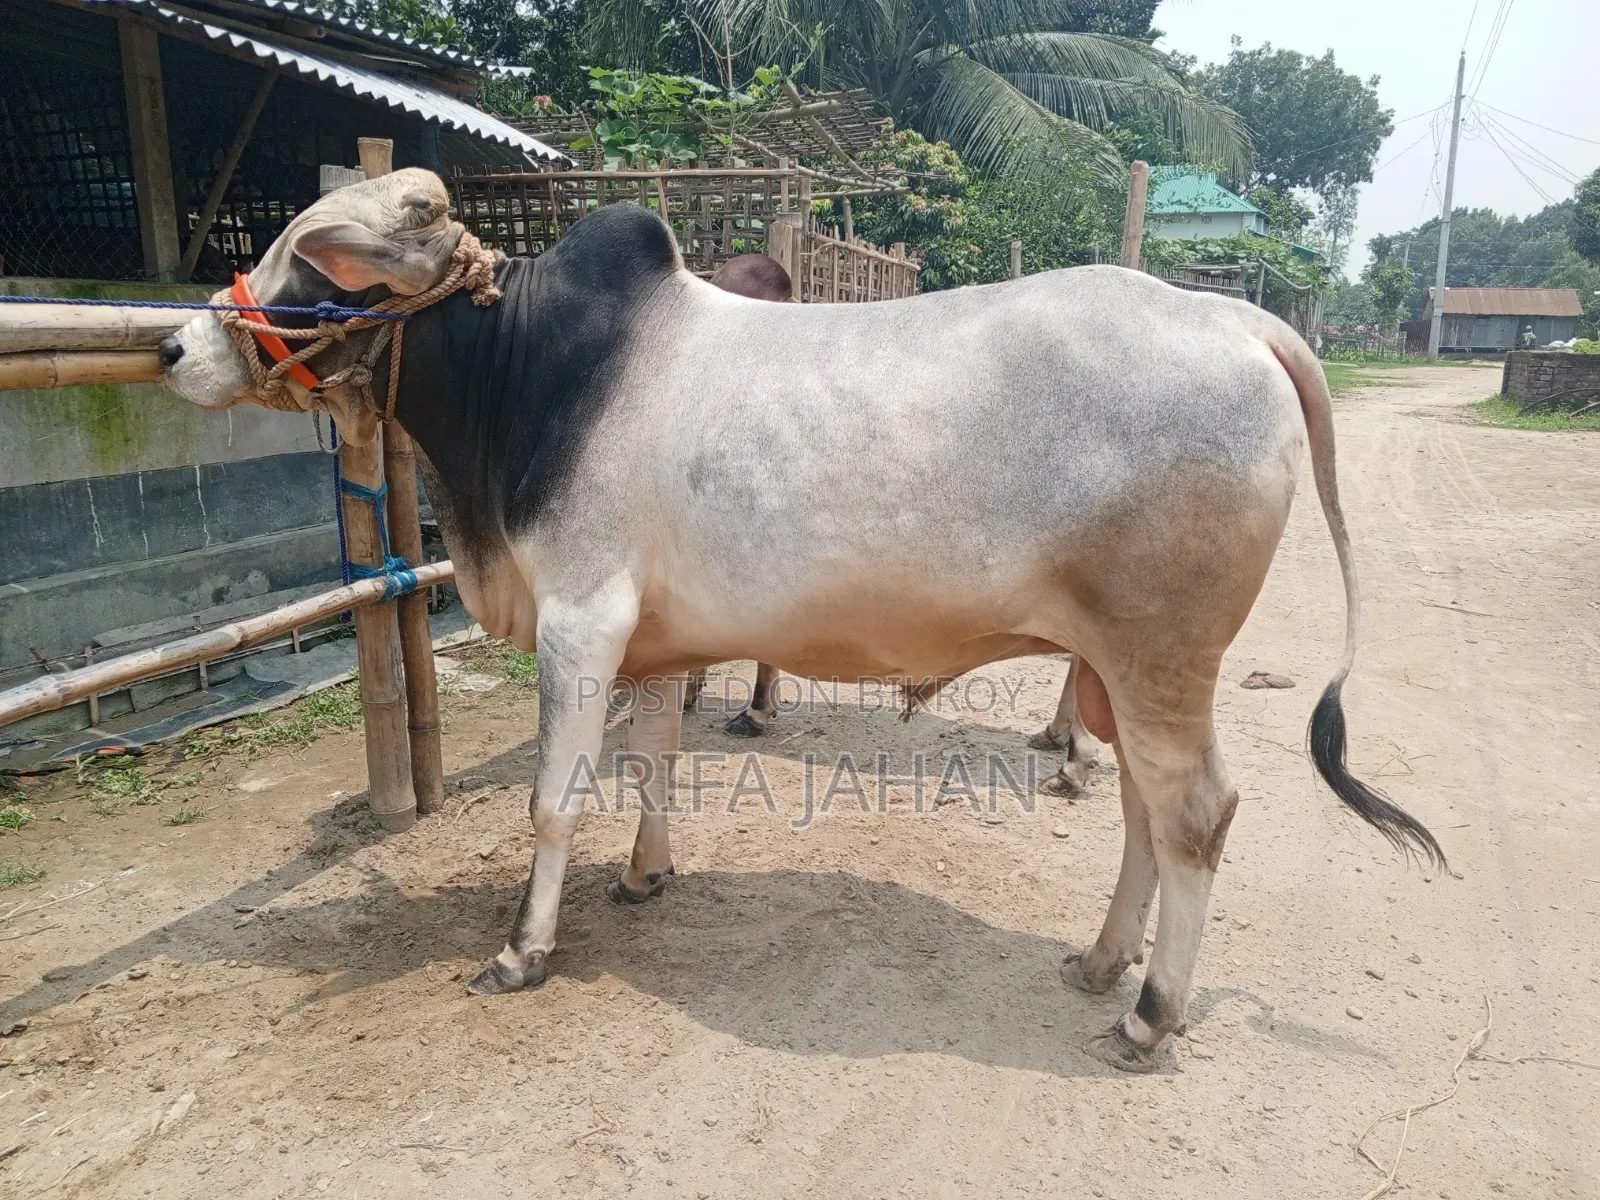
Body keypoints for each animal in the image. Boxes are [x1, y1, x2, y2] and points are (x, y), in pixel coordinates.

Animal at [157, 168, 1444, 1072]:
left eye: (306, 255)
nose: (173, 343)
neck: (532, 372)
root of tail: (1240, 326)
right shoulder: (648, 642)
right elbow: (654, 763)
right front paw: (645, 878)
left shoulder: (580, 623)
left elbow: (553, 802)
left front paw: (524, 949)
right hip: (1119, 669)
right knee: (1141, 808)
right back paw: (1099, 963)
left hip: (1161, 659)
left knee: (1195, 815)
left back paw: (1149, 1014)